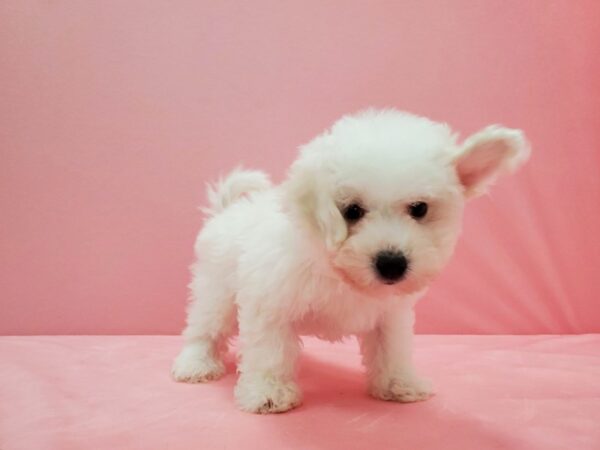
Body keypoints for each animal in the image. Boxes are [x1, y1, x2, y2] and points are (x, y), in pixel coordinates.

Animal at [171, 109, 528, 414]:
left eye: (419, 208)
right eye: (352, 210)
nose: (392, 263)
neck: (339, 272)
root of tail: (227, 210)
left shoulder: (390, 314)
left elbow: (392, 348)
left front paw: (399, 383)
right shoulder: (269, 305)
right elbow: (270, 352)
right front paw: (269, 393)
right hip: (215, 292)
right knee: (203, 329)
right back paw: (196, 364)